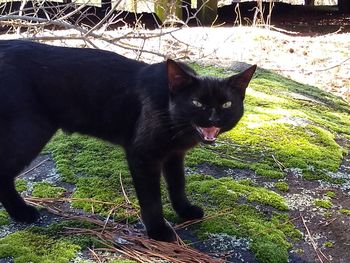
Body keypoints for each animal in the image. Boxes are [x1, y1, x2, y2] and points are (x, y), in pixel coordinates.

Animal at [0, 40, 258, 242]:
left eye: (226, 104)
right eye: (197, 103)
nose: (213, 118)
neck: (169, 109)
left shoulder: (174, 154)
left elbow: (178, 184)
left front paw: (185, 210)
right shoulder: (142, 155)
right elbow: (151, 198)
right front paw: (159, 231)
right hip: (30, 130)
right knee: (3, 173)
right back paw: (22, 213)